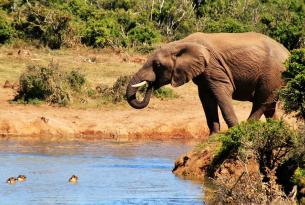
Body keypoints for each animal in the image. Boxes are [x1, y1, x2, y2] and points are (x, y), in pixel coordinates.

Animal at [124, 32, 288, 135]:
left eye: (157, 65)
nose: (150, 84)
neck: (180, 44)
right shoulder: (203, 75)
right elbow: (206, 99)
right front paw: (213, 135)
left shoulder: (213, 67)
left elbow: (222, 92)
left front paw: (234, 132)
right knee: (269, 106)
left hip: (273, 74)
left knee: (262, 102)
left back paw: (247, 127)